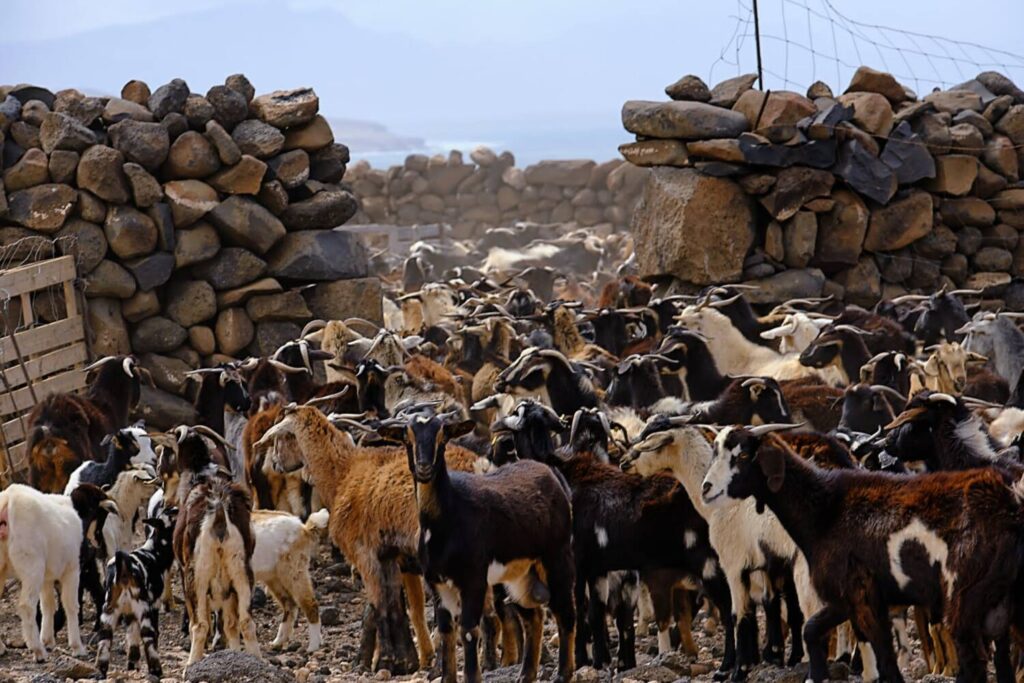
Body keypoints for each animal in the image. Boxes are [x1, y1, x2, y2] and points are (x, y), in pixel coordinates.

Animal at [380, 411, 581, 683]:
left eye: (442, 437)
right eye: (407, 438)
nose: (424, 468)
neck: (447, 519)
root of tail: (550, 475)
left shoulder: (473, 579)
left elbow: (467, 630)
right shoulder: (437, 583)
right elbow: (447, 631)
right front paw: (447, 677)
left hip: (556, 557)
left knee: (565, 612)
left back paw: (562, 674)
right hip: (518, 574)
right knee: (533, 616)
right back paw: (525, 675)